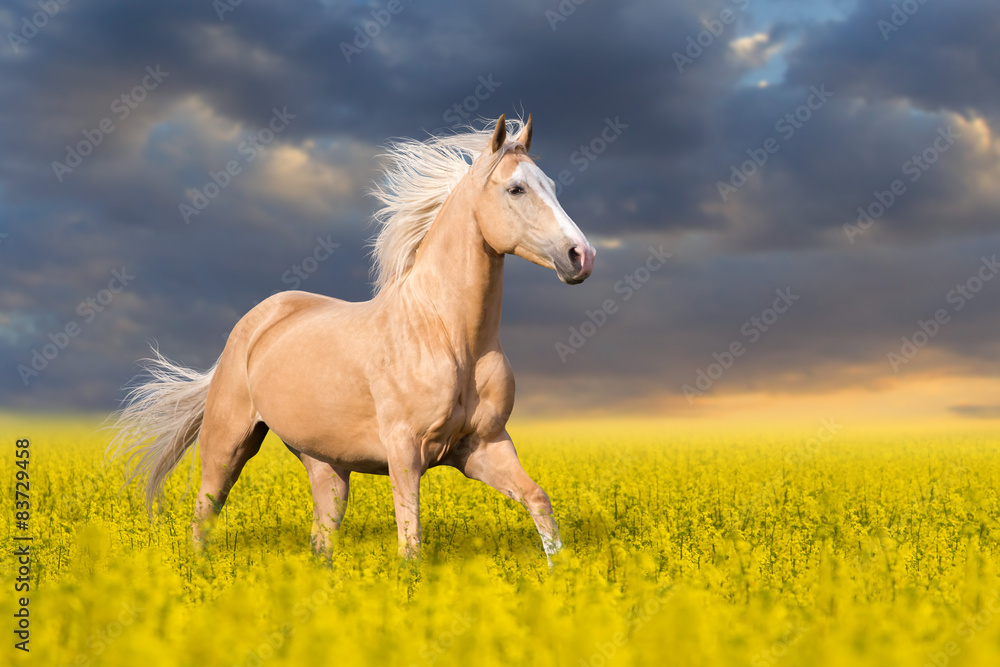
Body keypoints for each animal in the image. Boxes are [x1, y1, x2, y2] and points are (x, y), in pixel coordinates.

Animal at [109, 114, 596, 563]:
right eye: (516, 189)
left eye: (551, 185)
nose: (581, 256)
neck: (449, 337)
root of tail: (253, 324)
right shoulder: (405, 451)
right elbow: (410, 543)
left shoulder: (484, 446)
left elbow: (539, 501)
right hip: (227, 445)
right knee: (203, 515)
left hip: (326, 465)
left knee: (321, 537)